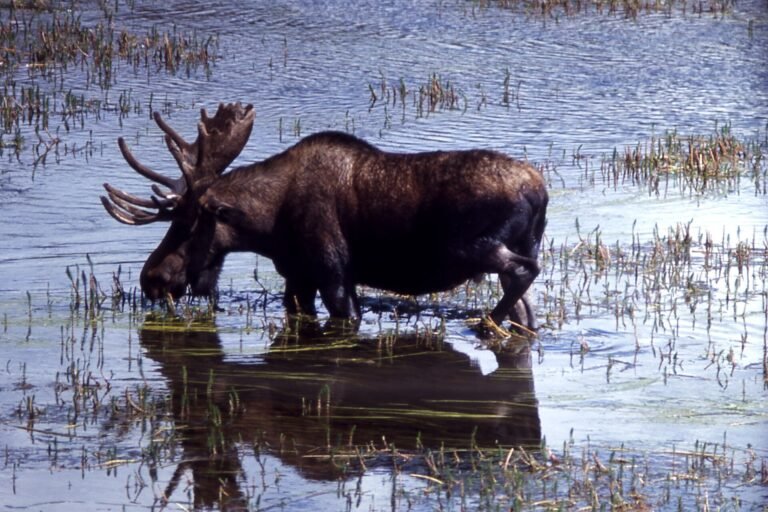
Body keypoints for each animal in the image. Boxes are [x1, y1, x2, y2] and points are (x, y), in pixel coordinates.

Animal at [101, 103, 548, 330]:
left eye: (188, 223)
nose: (151, 278)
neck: (268, 225)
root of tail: (539, 192)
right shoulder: (297, 276)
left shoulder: (333, 271)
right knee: (526, 305)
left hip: (473, 246)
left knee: (525, 271)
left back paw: (485, 323)